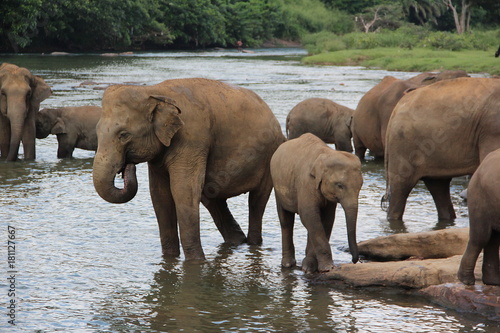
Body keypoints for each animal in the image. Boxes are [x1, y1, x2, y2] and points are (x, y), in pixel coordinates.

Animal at [93, 77, 286, 260]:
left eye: (123, 135)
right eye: (97, 132)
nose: (128, 167)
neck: (154, 91)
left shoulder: (192, 138)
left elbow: (183, 190)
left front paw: (196, 262)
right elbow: (160, 196)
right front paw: (170, 258)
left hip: (270, 155)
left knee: (256, 201)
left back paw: (252, 243)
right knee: (212, 198)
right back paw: (237, 241)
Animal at [272, 132, 362, 272]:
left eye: (361, 186)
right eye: (340, 185)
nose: (354, 261)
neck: (326, 154)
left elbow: (326, 219)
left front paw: (309, 266)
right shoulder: (306, 182)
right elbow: (310, 216)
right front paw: (327, 268)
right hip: (277, 187)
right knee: (286, 221)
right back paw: (287, 264)